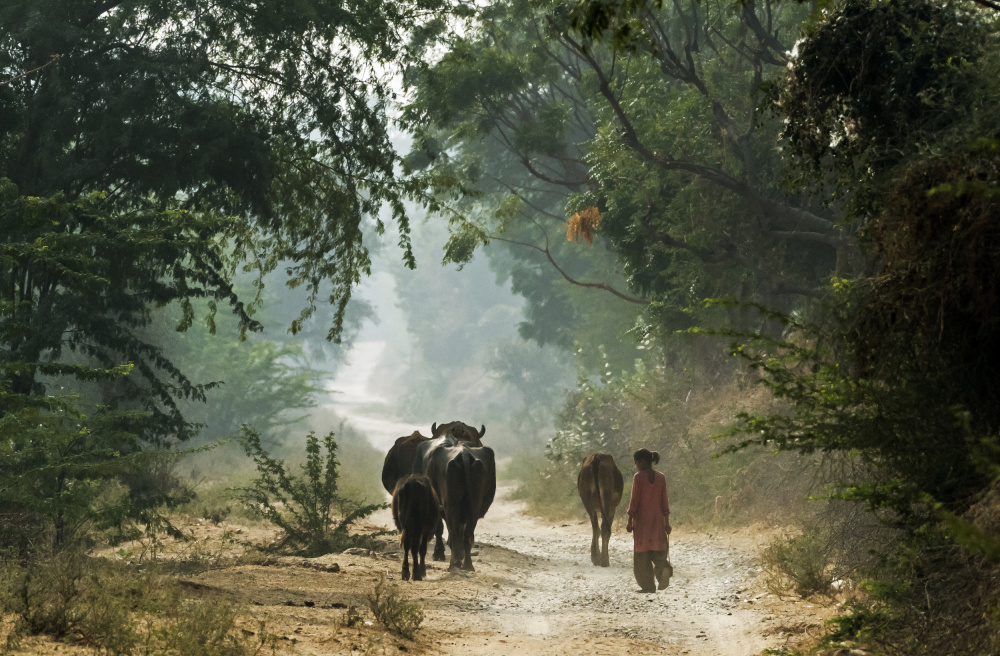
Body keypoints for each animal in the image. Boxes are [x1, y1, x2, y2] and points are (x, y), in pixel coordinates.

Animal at [410, 436, 496, 568]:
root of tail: (464, 453)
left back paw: (454, 564)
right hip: (474, 504)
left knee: (453, 528)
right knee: (467, 530)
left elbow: (440, 528)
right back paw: (467, 565)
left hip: (450, 503)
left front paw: (439, 553)